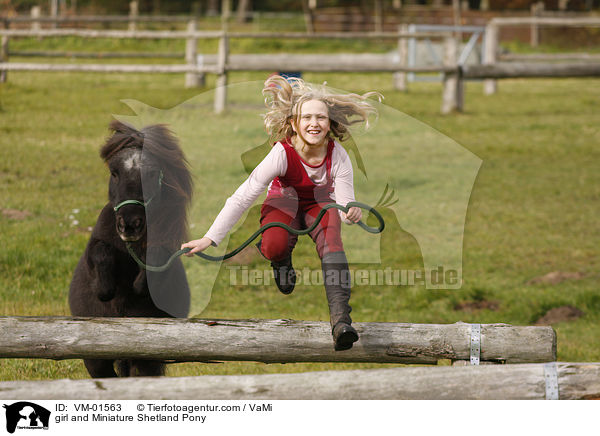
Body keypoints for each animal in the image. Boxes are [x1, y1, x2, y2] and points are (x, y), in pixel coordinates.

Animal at [69, 120, 193, 378]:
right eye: (114, 172)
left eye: (152, 173)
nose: (130, 223)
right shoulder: (95, 250)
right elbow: (100, 253)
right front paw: (105, 290)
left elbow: (156, 258)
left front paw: (138, 284)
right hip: (96, 360)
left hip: (144, 359)